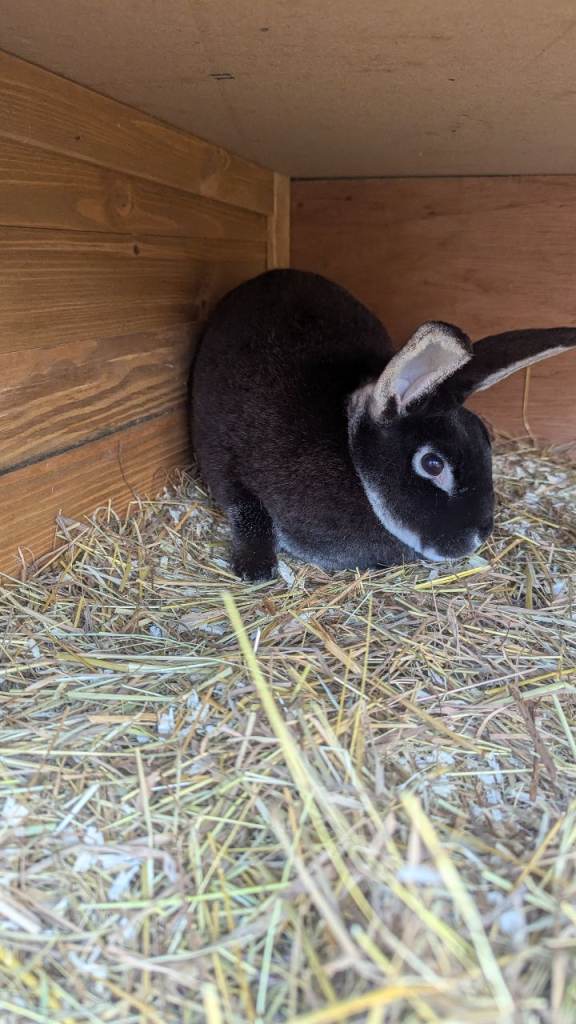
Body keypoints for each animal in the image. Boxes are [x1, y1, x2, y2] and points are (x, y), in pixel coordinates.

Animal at [191, 269, 575, 581]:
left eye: (486, 439)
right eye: (432, 464)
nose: (478, 537)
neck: (349, 449)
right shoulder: (226, 460)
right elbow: (246, 510)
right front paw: (256, 568)